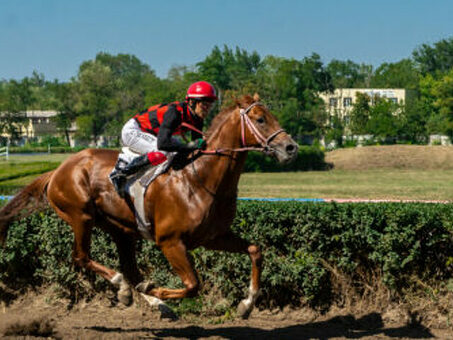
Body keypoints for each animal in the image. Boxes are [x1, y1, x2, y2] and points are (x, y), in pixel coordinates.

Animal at [1, 93, 298, 318]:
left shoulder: (213, 237)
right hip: (80, 216)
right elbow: (193, 285)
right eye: (260, 119)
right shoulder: (170, 242)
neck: (201, 178)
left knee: (130, 270)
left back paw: (149, 299)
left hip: (120, 229)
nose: (291, 148)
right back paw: (126, 289)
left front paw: (246, 305)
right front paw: (157, 290)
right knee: (82, 258)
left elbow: (255, 250)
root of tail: (58, 170)